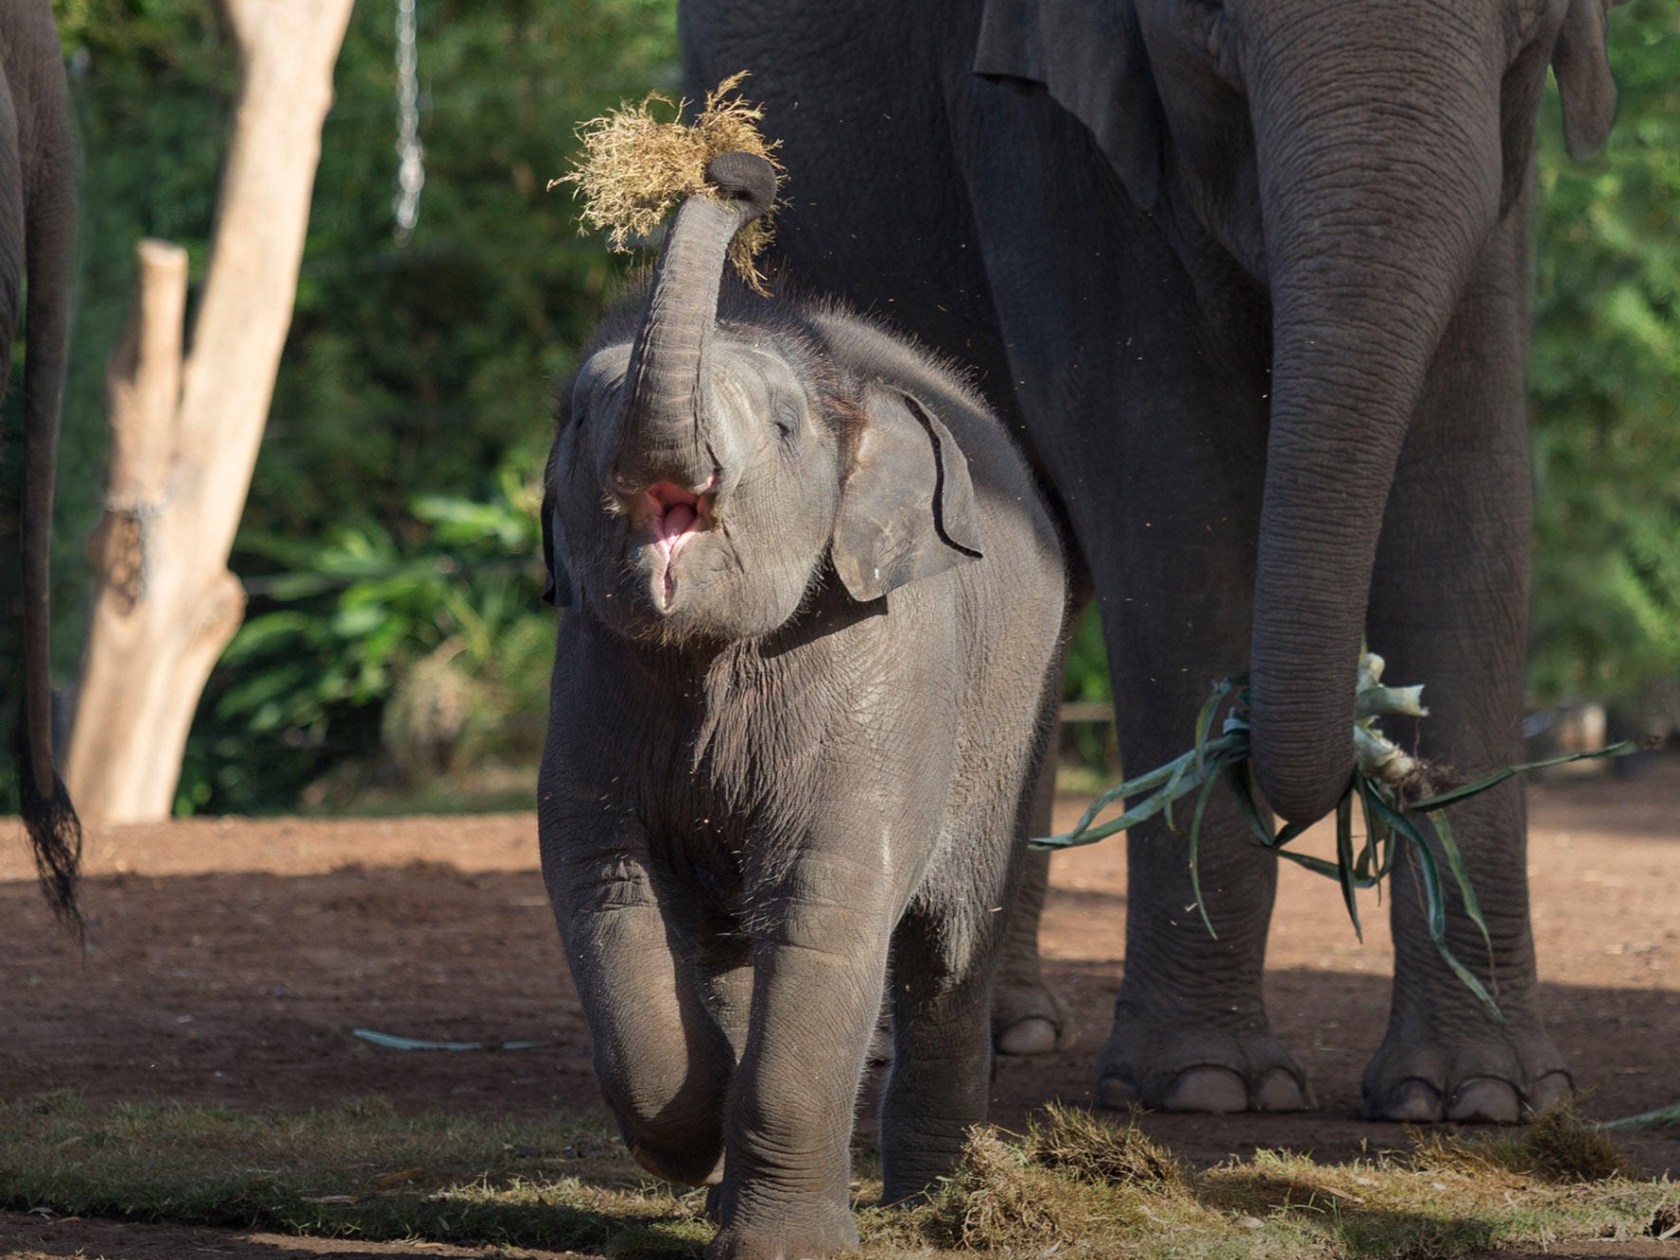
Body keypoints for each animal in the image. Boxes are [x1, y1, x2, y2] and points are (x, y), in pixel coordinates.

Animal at [537, 151, 1065, 1257]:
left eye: (783, 429)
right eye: (577, 419)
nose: (737, 172)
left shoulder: (879, 665)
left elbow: (830, 902)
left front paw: (781, 1245)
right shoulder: (594, 673)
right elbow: (609, 883)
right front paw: (692, 1134)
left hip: (1015, 712)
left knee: (950, 952)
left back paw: (932, 1204)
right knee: (734, 949)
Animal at [682, 0, 1628, 1123]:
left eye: (1530, 24)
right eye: (1209, 27)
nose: (1362, 770)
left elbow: (1467, 486)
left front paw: (1482, 1100)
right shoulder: (1049, 124)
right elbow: (1172, 489)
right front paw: (1209, 1084)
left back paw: (1011, 1027)